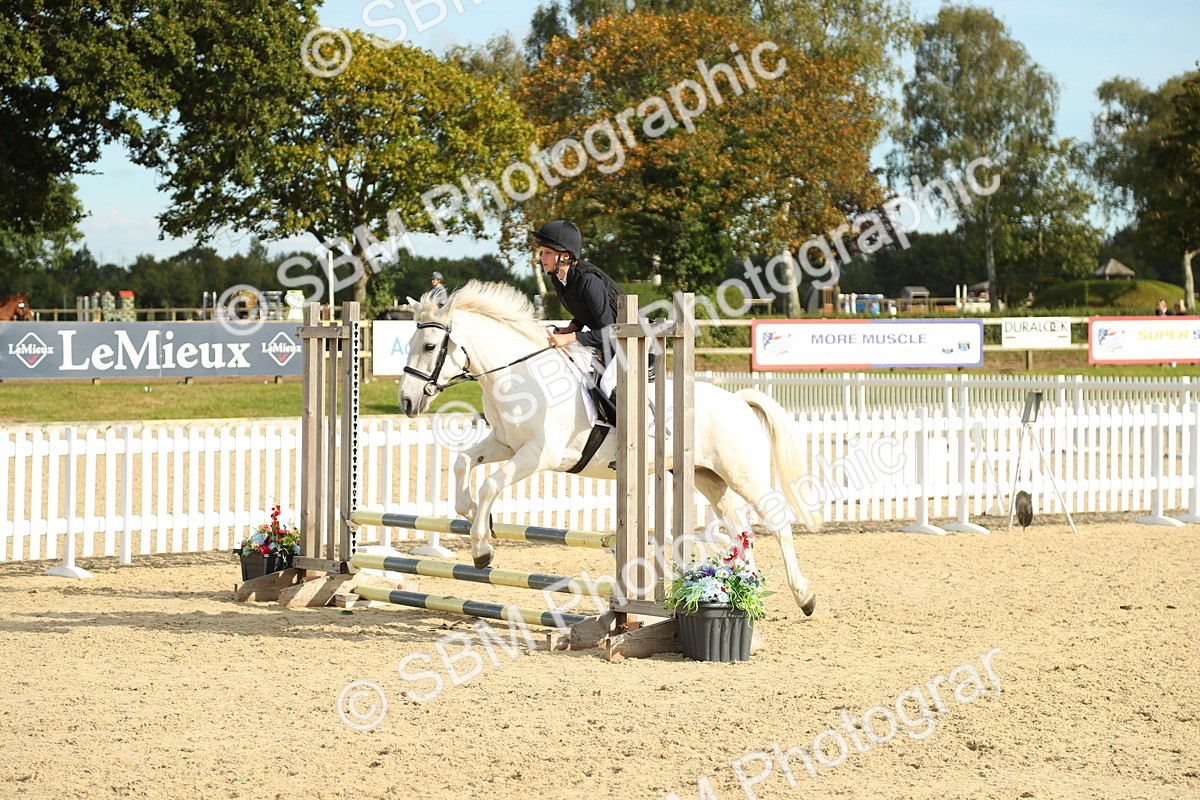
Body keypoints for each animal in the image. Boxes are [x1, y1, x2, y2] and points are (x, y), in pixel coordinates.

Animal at [397, 280, 820, 615]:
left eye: (430, 345)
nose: (406, 402)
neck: (518, 376)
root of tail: (739, 401)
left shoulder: (538, 455)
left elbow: (489, 484)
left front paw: (482, 550)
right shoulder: (504, 443)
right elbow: (463, 463)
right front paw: (472, 515)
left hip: (743, 474)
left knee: (777, 523)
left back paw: (804, 597)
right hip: (707, 478)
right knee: (739, 530)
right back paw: (742, 592)